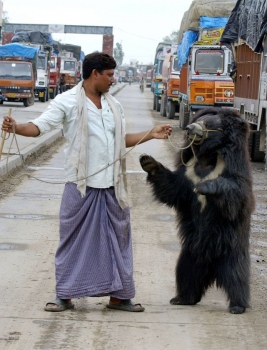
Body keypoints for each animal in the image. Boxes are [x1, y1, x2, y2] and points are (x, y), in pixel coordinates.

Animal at [140, 106, 255, 314]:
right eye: (198, 120)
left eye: (207, 123)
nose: (189, 128)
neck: (208, 159)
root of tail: (211, 266)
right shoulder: (188, 174)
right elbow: (173, 188)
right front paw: (147, 161)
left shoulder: (234, 168)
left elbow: (236, 193)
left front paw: (205, 187)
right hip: (190, 252)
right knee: (186, 272)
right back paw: (182, 298)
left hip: (231, 248)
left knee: (236, 275)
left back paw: (237, 305)